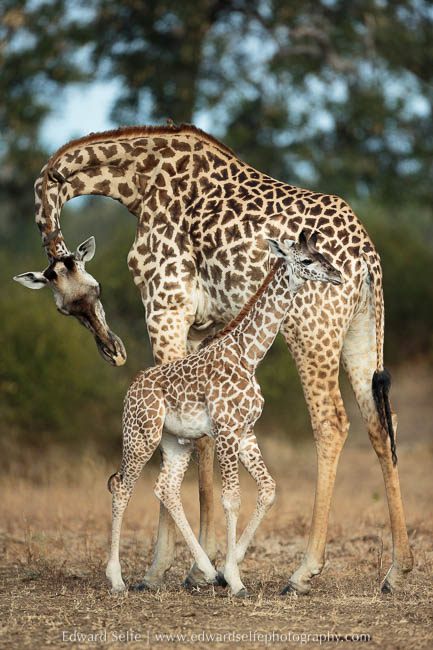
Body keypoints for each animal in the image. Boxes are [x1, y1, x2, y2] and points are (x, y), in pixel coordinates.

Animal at [106, 232, 343, 596]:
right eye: (306, 260)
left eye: (323, 254)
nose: (337, 275)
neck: (249, 355)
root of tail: (130, 390)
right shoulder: (227, 429)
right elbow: (231, 498)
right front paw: (234, 579)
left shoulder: (246, 432)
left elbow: (268, 488)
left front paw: (226, 569)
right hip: (140, 435)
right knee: (121, 486)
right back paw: (116, 579)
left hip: (176, 441)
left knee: (166, 488)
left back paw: (204, 568)